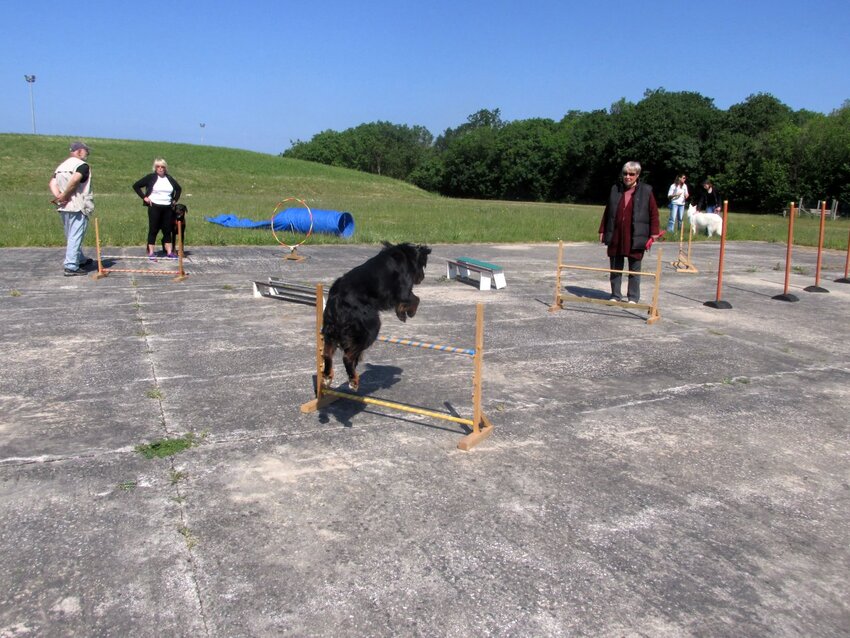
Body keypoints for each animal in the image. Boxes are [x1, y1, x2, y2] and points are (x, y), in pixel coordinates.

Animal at [322, 244, 430, 390]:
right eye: (423, 265)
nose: (422, 277)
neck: (405, 254)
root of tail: (336, 299)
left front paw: (401, 313)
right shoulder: (404, 291)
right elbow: (415, 299)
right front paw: (408, 313)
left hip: (331, 329)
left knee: (327, 354)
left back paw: (328, 377)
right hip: (370, 327)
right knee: (347, 357)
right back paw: (353, 381)